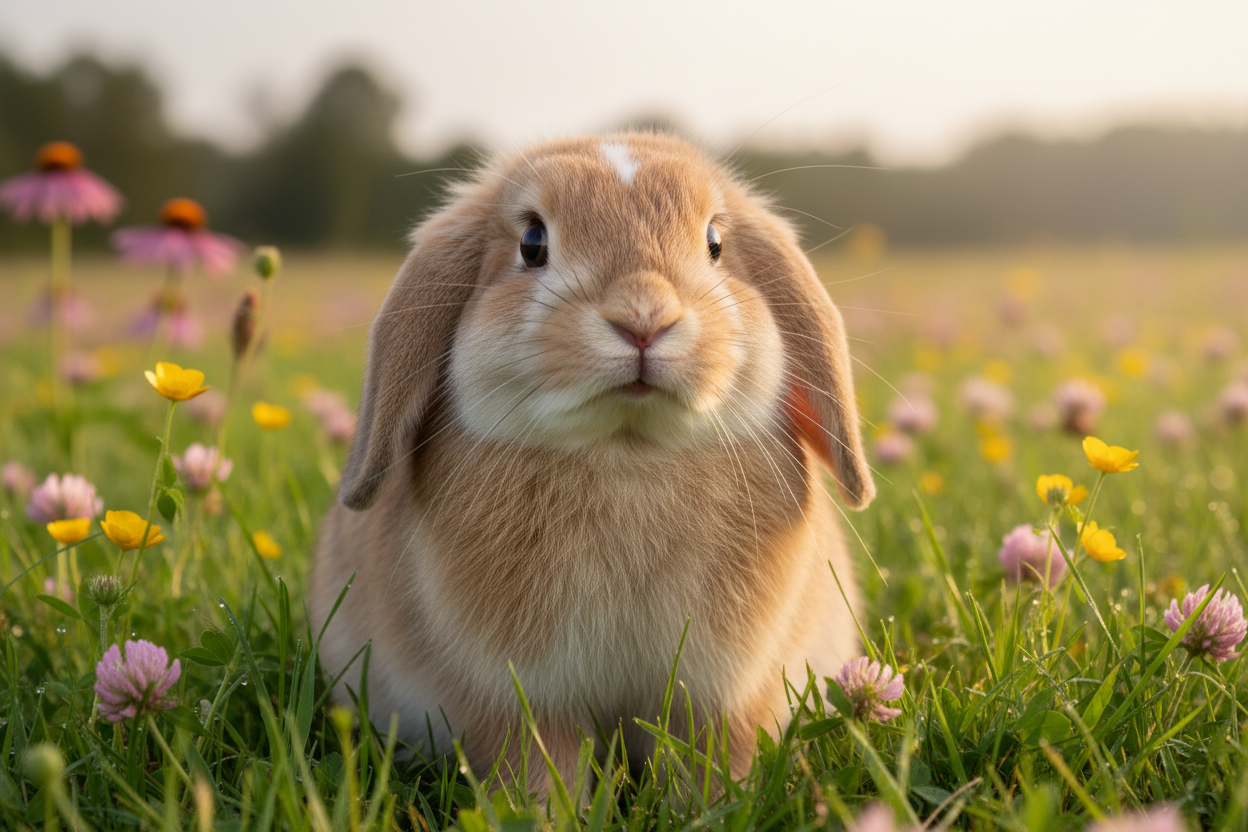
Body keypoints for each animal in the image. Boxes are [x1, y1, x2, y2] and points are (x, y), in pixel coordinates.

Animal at [309, 131, 875, 793]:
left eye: (715, 242)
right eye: (532, 242)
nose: (643, 318)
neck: (626, 448)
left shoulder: (717, 697)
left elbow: (709, 761)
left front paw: (712, 804)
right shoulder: (522, 702)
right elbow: (541, 769)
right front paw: (545, 810)